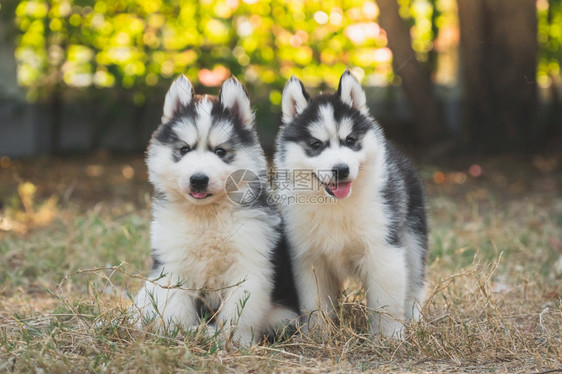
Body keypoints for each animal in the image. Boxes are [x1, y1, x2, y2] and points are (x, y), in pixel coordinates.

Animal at [133, 74, 298, 346]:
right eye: (184, 149)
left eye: (220, 151)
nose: (198, 179)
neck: (206, 216)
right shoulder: (173, 265)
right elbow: (175, 307)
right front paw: (175, 334)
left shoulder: (249, 264)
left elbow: (239, 313)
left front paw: (236, 342)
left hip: (283, 317)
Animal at [274, 71, 426, 338]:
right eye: (316, 145)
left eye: (351, 140)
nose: (341, 169)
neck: (336, 205)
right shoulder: (308, 257)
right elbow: (315, 303)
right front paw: (319, 336)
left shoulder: (383, 249)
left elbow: (386, 302)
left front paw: (389, 337)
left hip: (413, 239)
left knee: (415, 282)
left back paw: (414, 321)